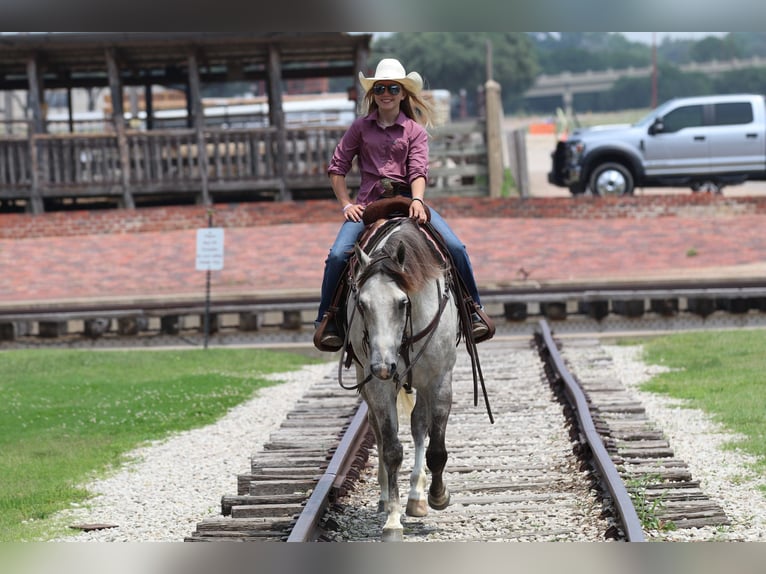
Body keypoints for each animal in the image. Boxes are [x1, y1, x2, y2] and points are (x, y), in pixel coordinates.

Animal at [344, 218, 460, 544]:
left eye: (401, 303)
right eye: (362, 304)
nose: (384, 365)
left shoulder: (439, 380)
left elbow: (436, 447)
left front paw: (438, 496)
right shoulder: (378, 386)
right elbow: (392, 449)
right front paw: (393, 521)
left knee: (420, 425)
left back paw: (417, 497)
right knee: (380, 433)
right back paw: (388, 499)